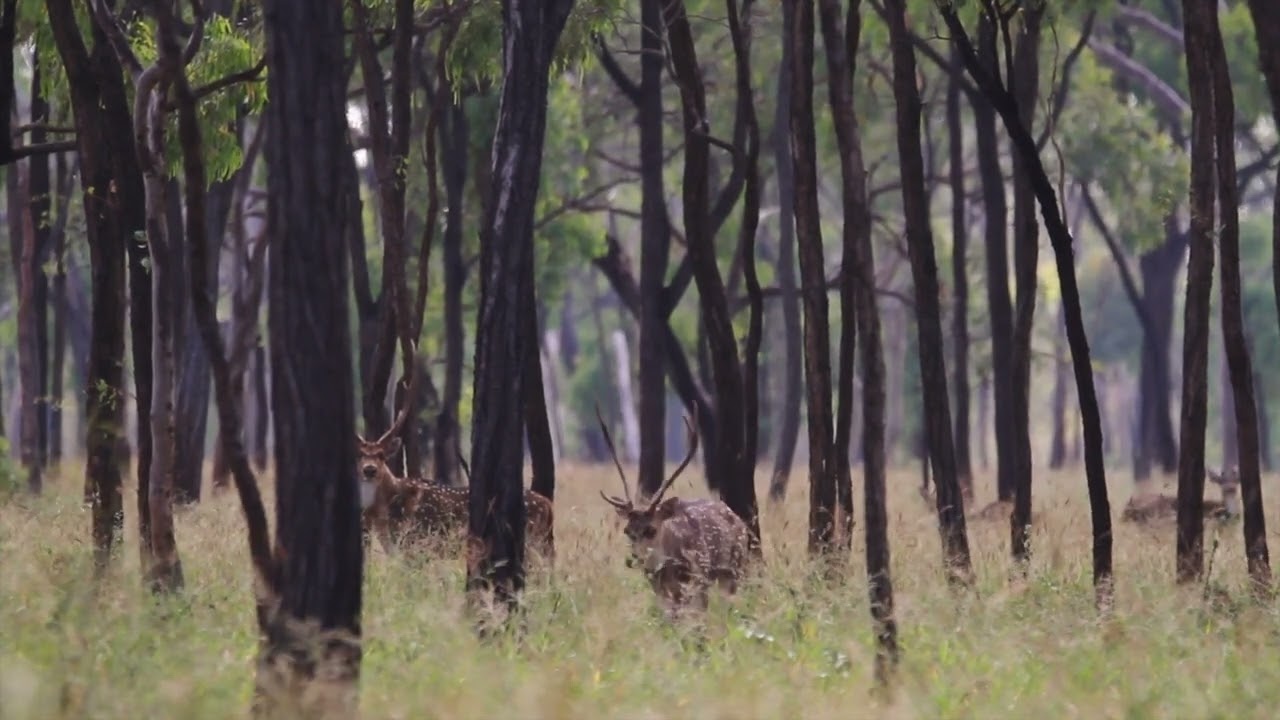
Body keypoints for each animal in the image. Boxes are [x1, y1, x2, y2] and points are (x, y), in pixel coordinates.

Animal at [596, 407, 751, 621]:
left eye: (651, 530)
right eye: (627, 531)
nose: (633, 559)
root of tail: (738, 519)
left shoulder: (700, 575)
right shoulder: (658, 586)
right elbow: (670, 618)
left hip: (734, 566)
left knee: (728, 603)